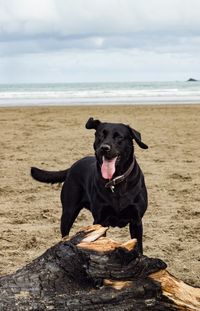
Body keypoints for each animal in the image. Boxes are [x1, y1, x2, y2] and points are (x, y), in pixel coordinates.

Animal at [30, 118, 148, 255]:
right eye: (100, 135)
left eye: (119, 136)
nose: (104, 148)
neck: (115, 181)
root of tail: (72, 166)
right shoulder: (100, 221)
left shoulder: (136, 221)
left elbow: (139, 246)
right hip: (68, 212)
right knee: (65, 234)